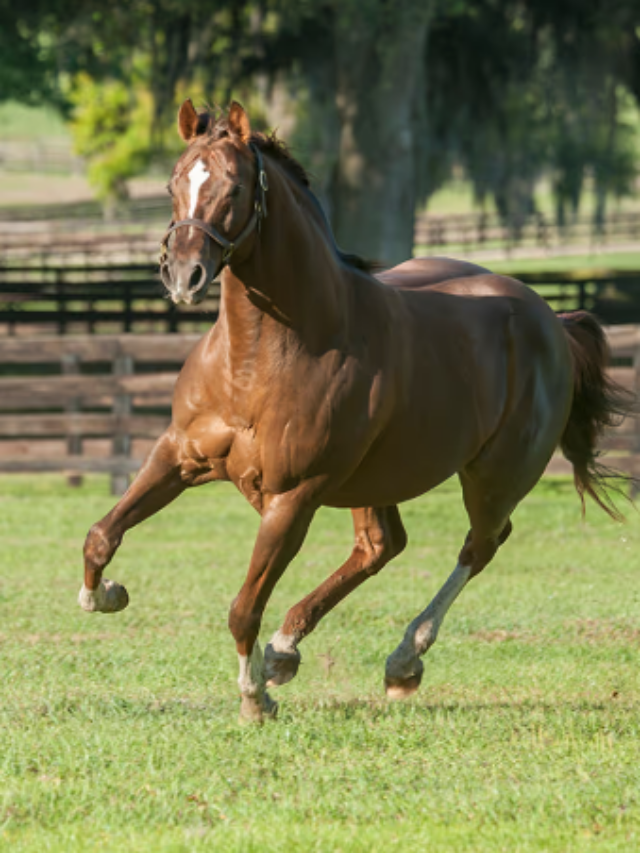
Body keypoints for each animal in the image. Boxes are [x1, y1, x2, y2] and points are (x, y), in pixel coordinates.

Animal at [79, 103, 632, 724]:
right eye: (174, 183)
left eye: (235, 185)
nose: (183, 276)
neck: (262, 357)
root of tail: (549, 318)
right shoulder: (178, 455)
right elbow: (102, 534)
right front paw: (106, 594)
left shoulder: (293, 497)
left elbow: (244, 607)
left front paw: (254, 697)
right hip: (376, 479)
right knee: (381, 545)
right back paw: (286, 651)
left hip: (493, 477)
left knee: (480, 544)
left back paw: (402, 660)